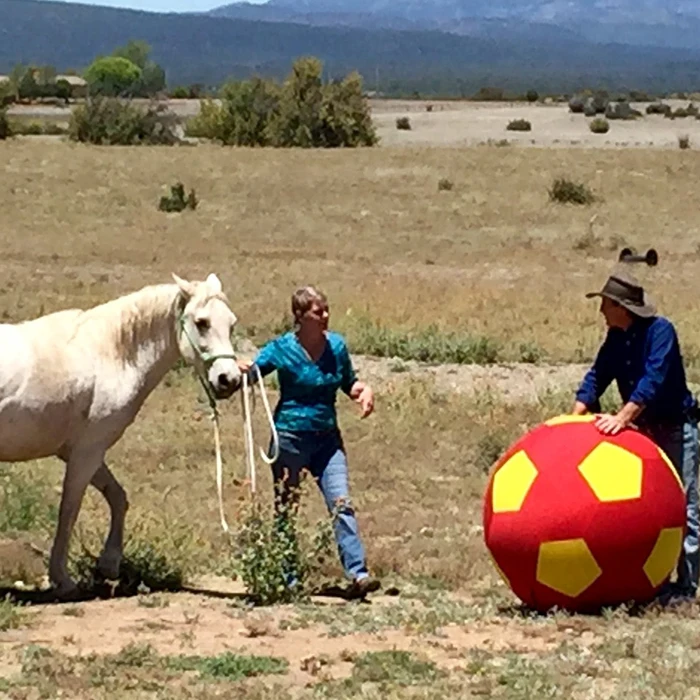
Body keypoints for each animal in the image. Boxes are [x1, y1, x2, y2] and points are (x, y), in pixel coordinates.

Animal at [0, 272, 242, 599]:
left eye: (231, 323)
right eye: (202, 322)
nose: (230, 380)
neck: (107, 354)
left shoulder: (83, 451)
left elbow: (118, 498)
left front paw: (109, 565)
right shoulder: (86, 454)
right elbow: (69, 511)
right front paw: (63, 580)